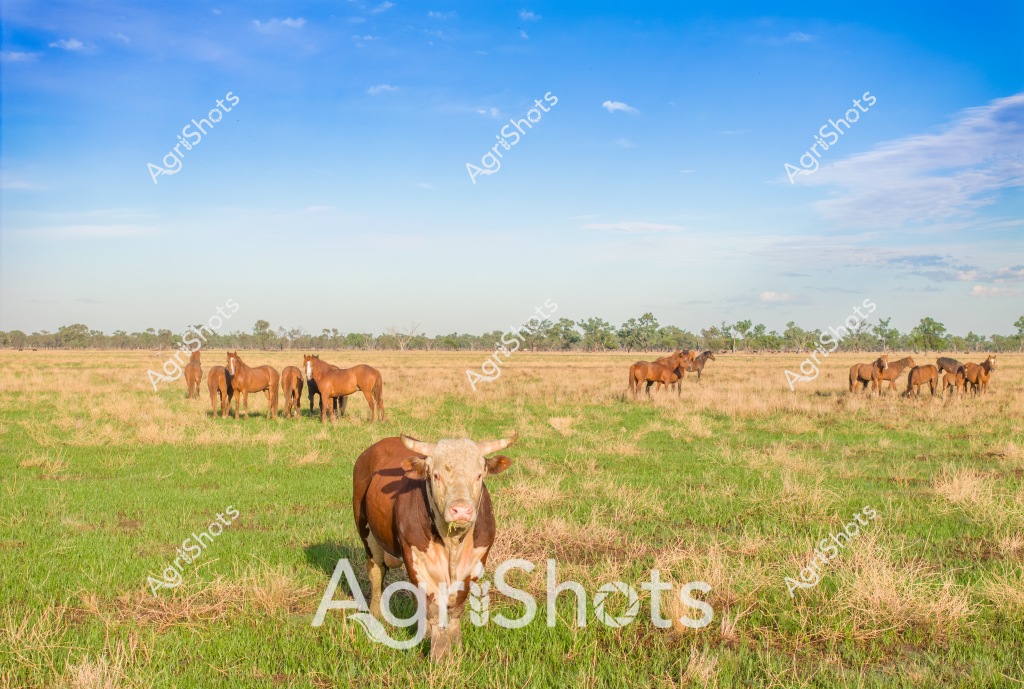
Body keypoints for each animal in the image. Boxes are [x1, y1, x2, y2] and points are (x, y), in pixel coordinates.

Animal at [352, 433, 517, 660]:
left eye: (479, 476)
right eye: (436, 476)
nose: (461, 510)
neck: (453, 542)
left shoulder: (475, 562)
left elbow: (457, 605)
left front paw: (455, 644)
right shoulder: (417, 558)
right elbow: (432, 606)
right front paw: (439, 653)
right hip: (367, 533)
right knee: (376, 572)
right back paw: (376, 614)